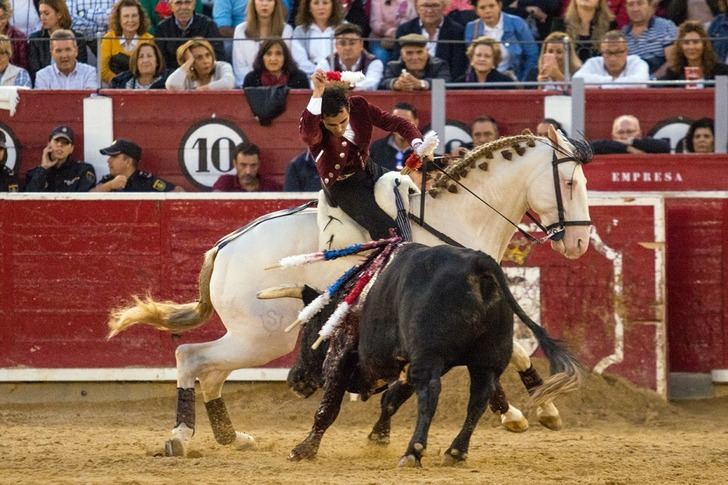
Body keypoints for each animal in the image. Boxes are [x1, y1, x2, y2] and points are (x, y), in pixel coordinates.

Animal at [290, 244, 580, 466]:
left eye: (307, 329)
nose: (294, 378)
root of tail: (477, 263)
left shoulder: (342, 354)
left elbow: (328, 408)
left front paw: (304, 450)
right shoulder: (409, 362)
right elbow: (391, 400)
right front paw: (378, 436)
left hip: (430, 358)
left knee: (430, 394)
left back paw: (413, 452)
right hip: (486, 359)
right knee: (478, 399)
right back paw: (456, 451)